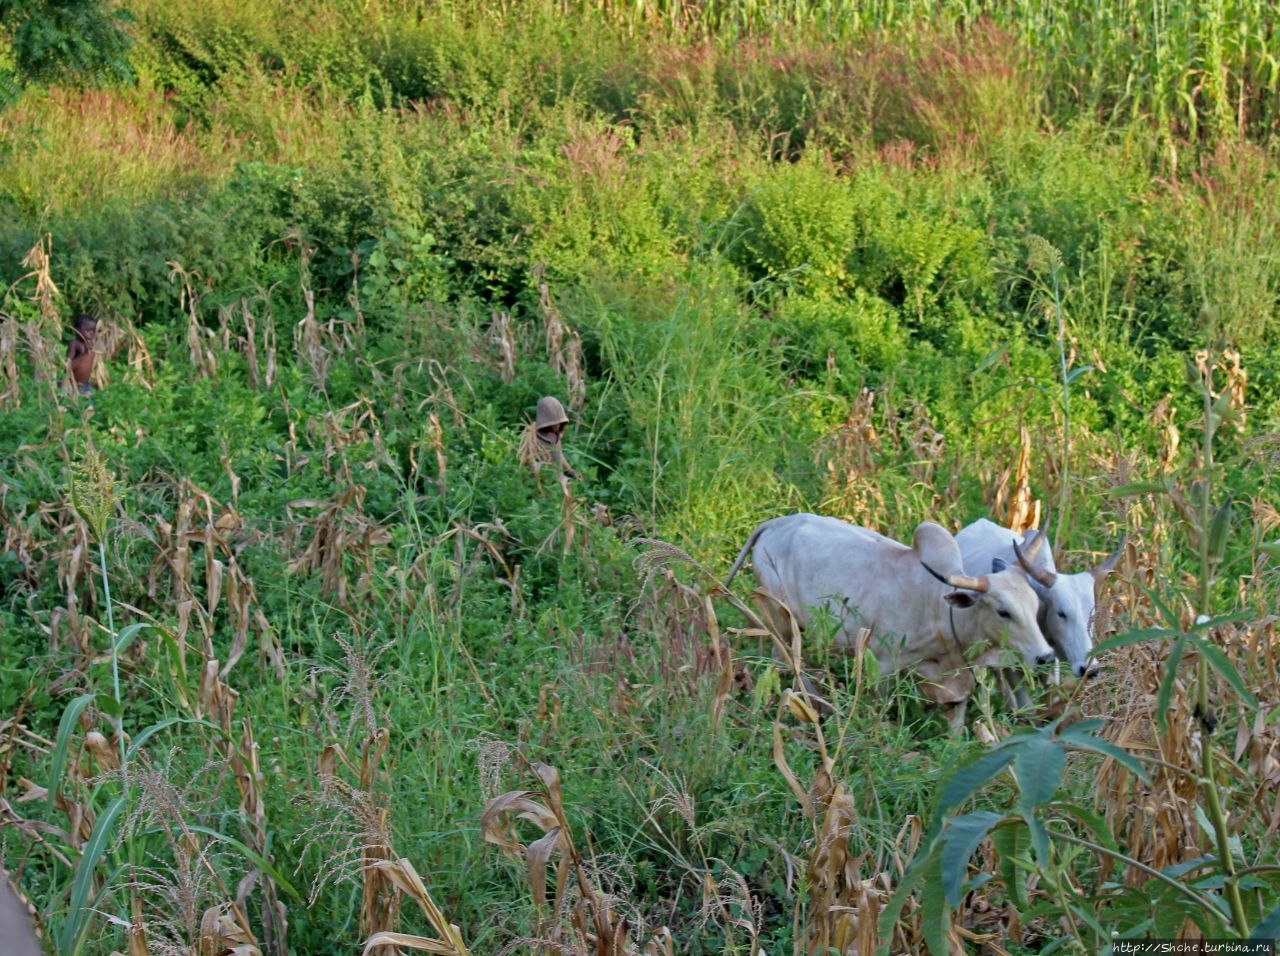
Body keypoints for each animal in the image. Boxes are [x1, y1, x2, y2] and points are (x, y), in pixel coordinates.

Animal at [727, 517, 1054, 726]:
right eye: (1003, 612)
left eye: (1035, 604)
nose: (1046, 656)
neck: (940, 608)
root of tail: (777, 523)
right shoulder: (880, 667)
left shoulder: (956, 683)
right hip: (781, 617)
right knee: (787, 659)